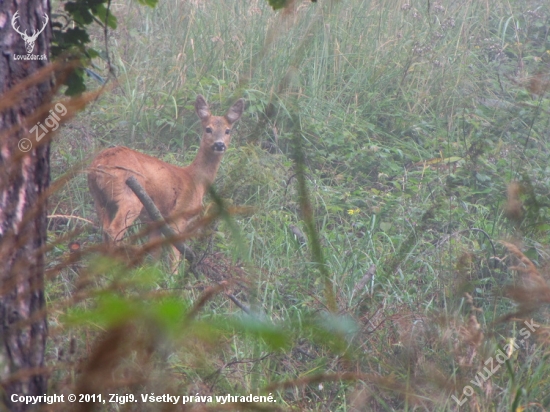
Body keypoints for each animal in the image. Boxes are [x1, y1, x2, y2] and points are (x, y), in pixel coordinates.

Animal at [88, 94, 244, 268]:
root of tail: (100, 163)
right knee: (114, 230)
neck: (196, 180)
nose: (219, 144)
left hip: (99, 199)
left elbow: (154, 254)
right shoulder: (179, 216)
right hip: (128, 195)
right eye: (208, 129)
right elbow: (174, 255)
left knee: (104, 229)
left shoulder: (156, 221)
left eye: (227, 130)